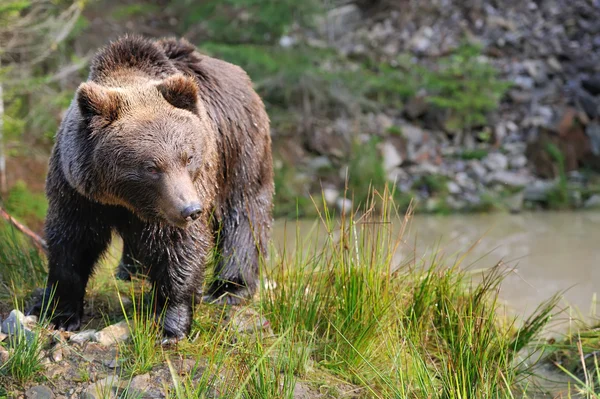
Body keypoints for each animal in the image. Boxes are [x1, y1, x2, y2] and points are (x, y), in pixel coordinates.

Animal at [29, 36, 274, 340]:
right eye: (151, 167)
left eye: (188, 156)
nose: (191, 209)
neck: (124, 198)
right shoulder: (77, 191)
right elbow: (72, 244)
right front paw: (60, 314)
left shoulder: (184, 193)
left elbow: (180, 248)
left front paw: (172, 323)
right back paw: (129, 271)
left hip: (240, 147)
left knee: (244, 213)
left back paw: (230, 287)